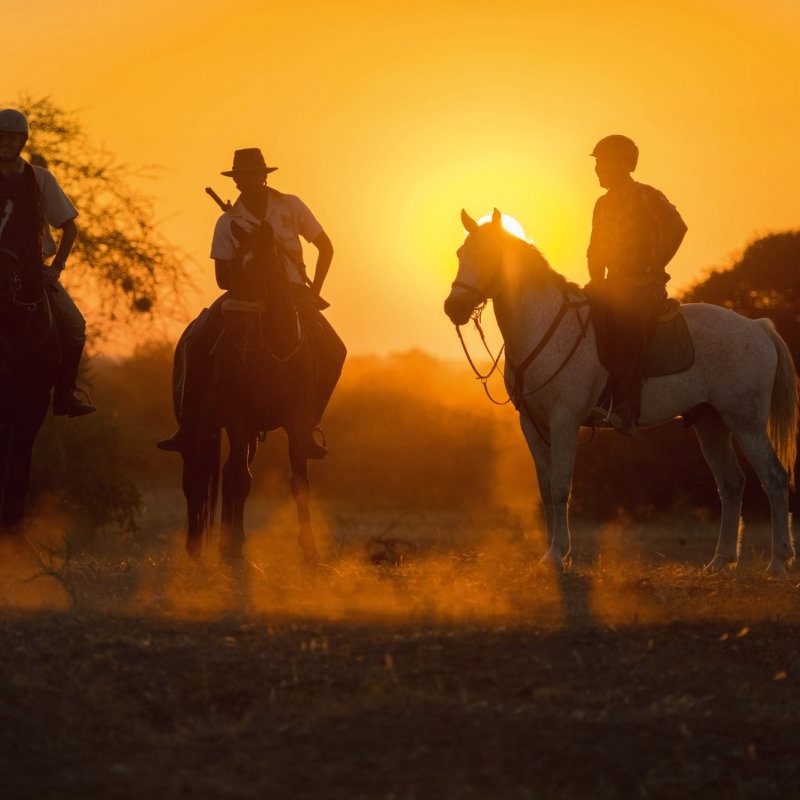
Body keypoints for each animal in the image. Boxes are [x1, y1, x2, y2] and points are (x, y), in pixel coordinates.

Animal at [174, 219, 324, 564]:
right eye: (233, 269)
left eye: (262, 267)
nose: (235, 323)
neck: (278, 347)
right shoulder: (238, 416)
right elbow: (240, 479)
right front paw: (236, 545)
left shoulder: (296, 421)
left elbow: (299, 482)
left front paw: (309, 548)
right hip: (198, 425)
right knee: (196, 476)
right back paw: (194, 546)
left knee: (227, 472)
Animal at [446, 209, 796, 580]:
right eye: (460, 254)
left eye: (487, 256)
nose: (453, 308)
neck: (541, 326)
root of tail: (757, 327)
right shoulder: (532, 423)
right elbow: (545, 488)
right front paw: (549, 556)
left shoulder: (564, 422)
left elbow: (561, 486)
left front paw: (559, 553)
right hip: (711, 422)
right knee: (731, 483)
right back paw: (720, 561)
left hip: (746, 424)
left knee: (774, 478)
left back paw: (778, 562)